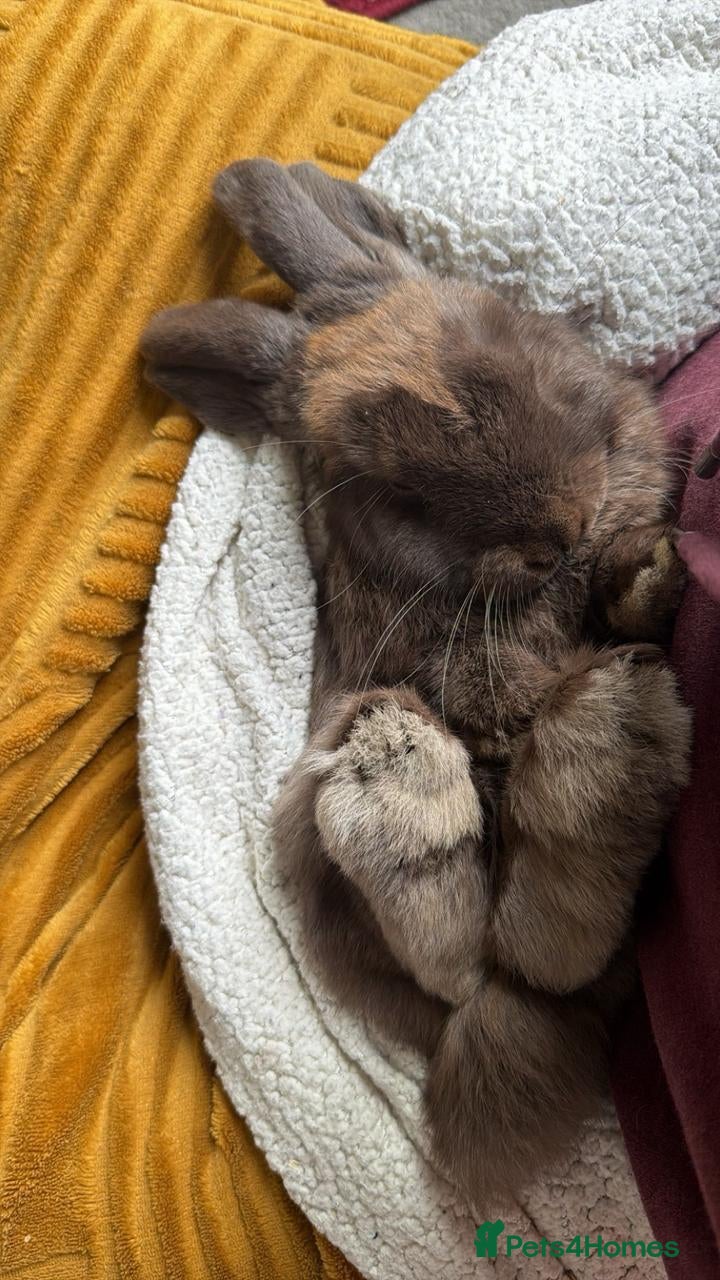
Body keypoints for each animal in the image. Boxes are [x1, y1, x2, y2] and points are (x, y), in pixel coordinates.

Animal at [141, 159, 692, 1211]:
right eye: (394, 494)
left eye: (495, 351)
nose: (562, 526)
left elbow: (632, 598)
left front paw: (647, 564)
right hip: (345, 771)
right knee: (461, 955)